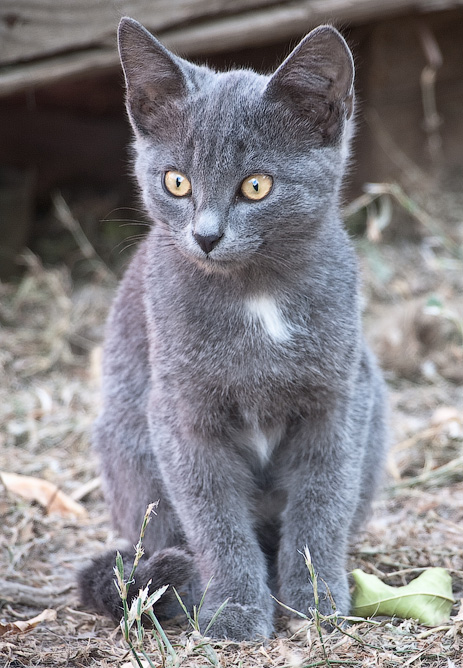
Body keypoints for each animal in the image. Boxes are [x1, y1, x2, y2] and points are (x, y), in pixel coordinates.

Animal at [78, 17, 387, 641]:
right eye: (176, 182)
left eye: (256, 186)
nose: (205, 235)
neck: (255, 296)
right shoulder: (182, 412)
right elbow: (214, 517)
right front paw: (236, 609)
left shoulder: (341, 398)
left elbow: (323, 502)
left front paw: (315, 598)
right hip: (128, 446)